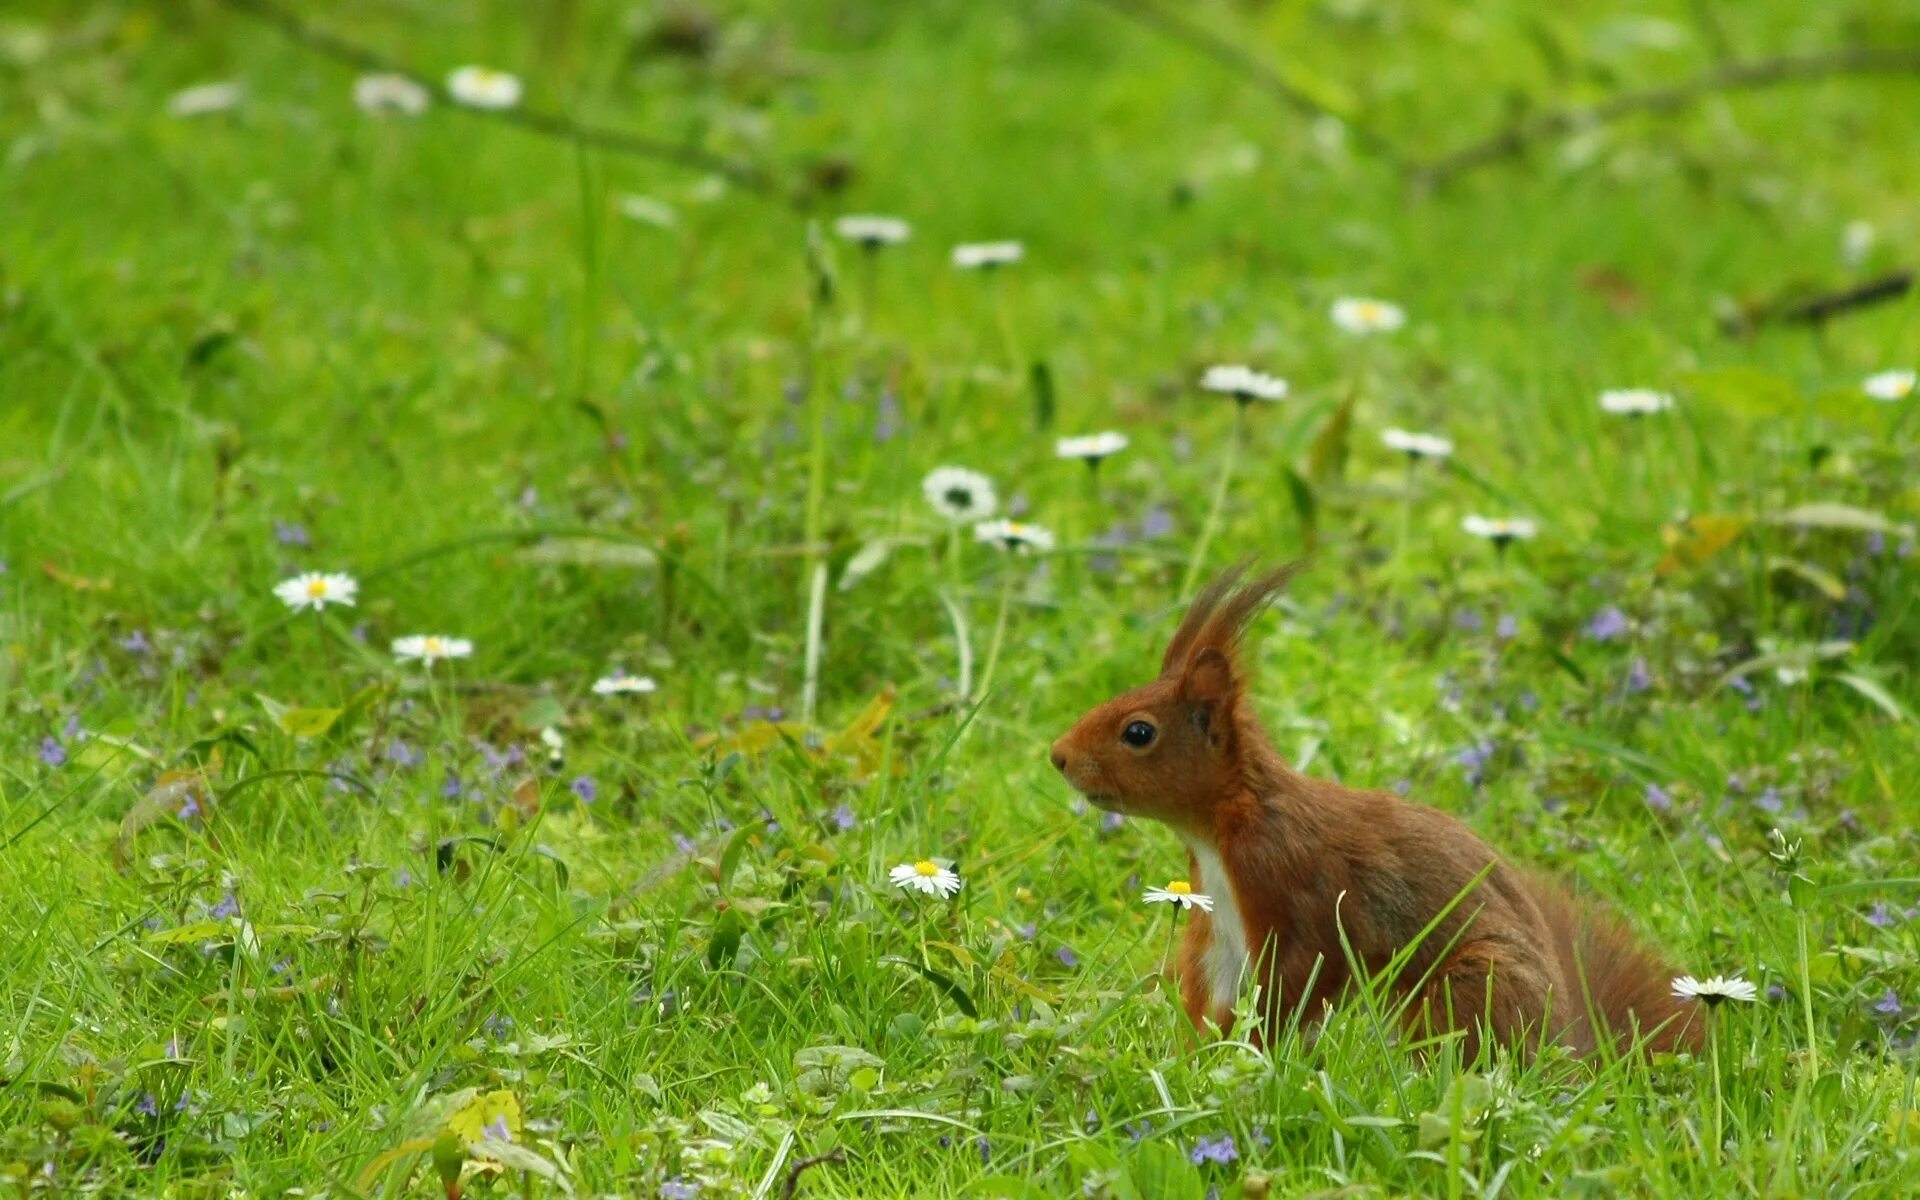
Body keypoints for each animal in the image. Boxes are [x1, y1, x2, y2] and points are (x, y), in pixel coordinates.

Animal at [1052, 564, 1697, 1059]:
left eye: (1138, 732)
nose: (1058, 757)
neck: (1228, 824)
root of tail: (1570, 1050)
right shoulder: (1218, 922)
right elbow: (1212, 987)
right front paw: (1196, 1058)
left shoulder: (1293, 882)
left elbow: (1297, 979)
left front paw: (1245, 1059)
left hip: (1472, 981)